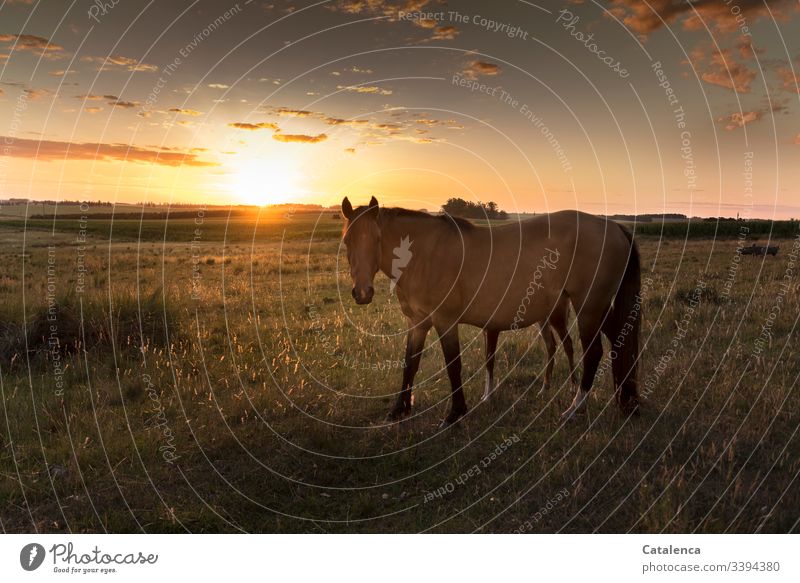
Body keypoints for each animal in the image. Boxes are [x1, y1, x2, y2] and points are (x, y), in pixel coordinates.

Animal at [340, 198, 640, 426]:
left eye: (377, 239)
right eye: (346, 241)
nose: (363, 293)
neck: (426, 254)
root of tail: (614, 227)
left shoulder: (445, 322)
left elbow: (453, 365)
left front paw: (455, 413)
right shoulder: (418, 322)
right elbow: (409, 365)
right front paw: (398, 410)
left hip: (588, 308)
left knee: (593, 353)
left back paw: (576, 407)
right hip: (596, 310)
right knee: (616, 342)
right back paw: (622, 400)